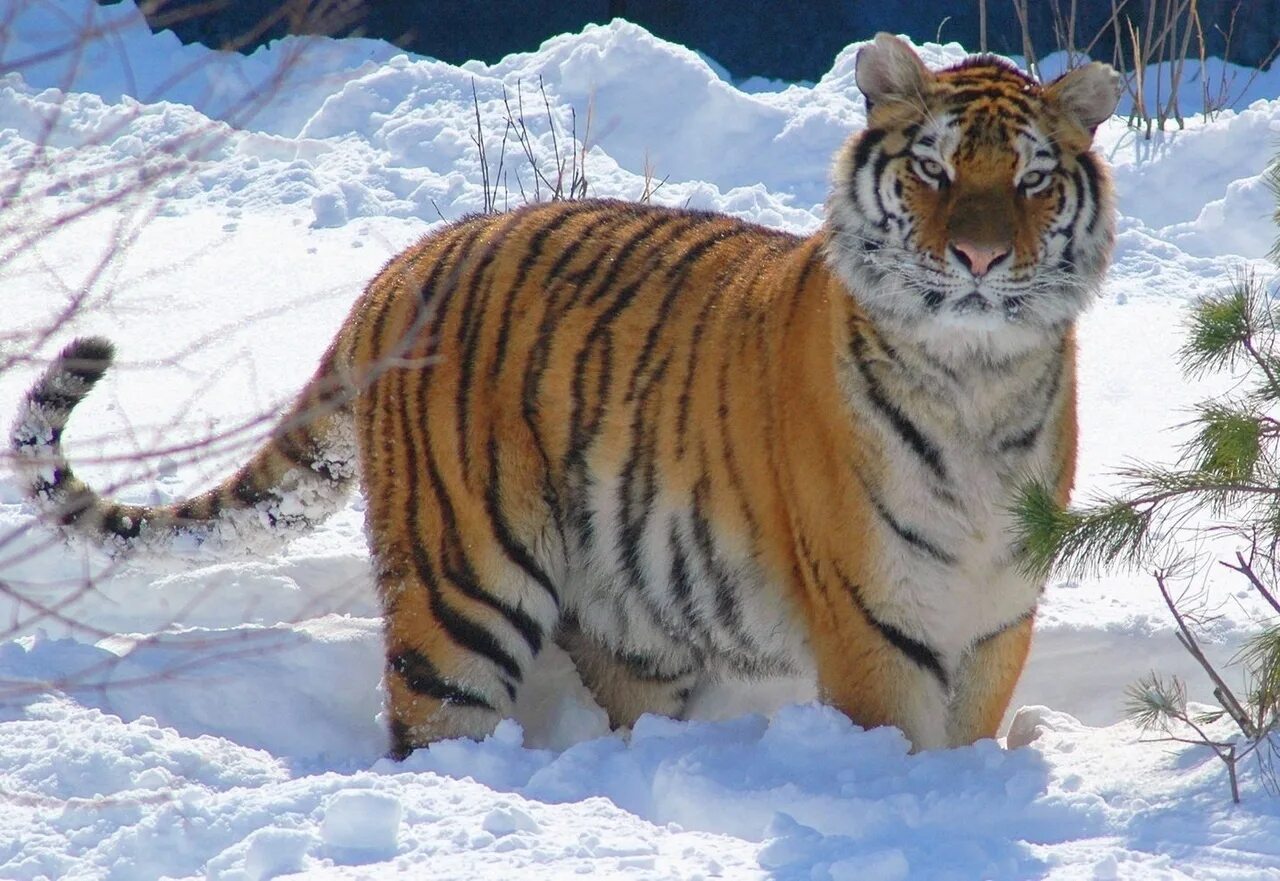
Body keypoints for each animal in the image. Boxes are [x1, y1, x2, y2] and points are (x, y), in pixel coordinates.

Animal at [10, 36, 1116, 758]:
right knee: (431, 728)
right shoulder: (872, 616)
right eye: (933, 168)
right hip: (460, 589)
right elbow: (900, 739)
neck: (976, 381)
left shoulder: (994, 611)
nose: (978, 258)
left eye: (1029, 180)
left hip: (636, 605)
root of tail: (400, 266)